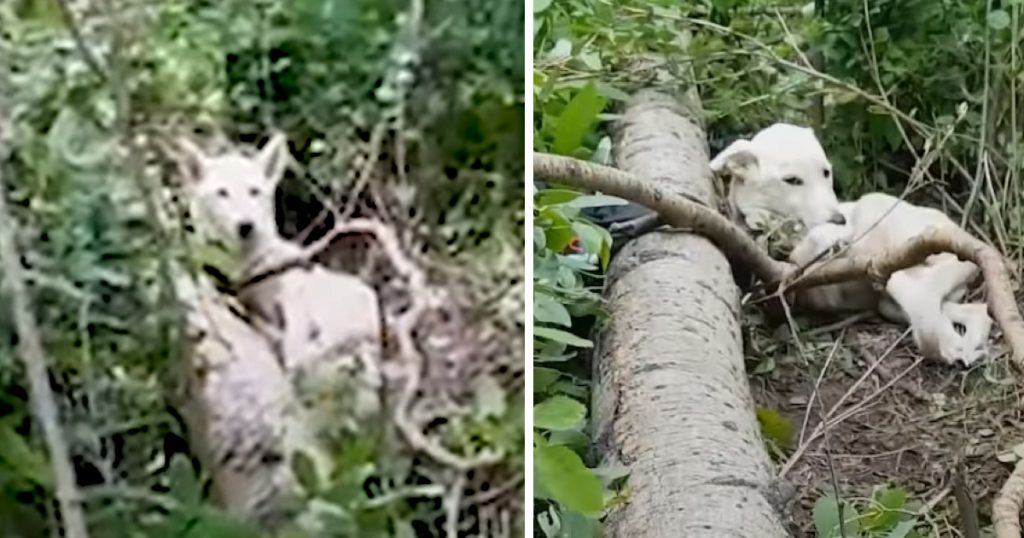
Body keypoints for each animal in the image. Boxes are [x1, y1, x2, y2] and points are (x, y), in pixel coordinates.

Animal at [712, 123, 991, 364]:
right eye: (792, 180)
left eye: (826, 172)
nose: (840, 219)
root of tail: (965, 239)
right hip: (892, 304)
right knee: (972, 312)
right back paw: (964, 346)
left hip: (884, 229)